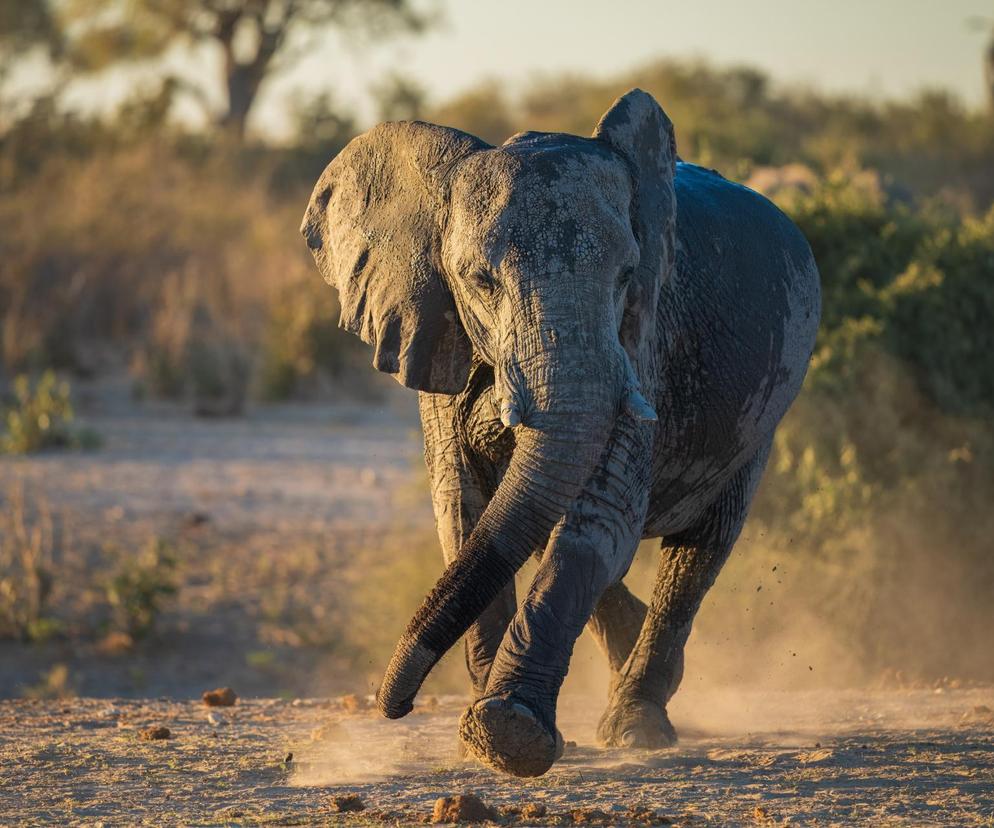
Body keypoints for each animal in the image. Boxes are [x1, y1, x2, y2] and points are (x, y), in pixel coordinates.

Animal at [302, 89, 820, 776]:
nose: (394, 707)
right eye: (479, 280)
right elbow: (465, 511)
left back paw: (637, 723)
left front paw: (508, 733)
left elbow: (598, 518)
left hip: (766, 409)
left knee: (701, 549)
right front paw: (478, 745)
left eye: (627, 276)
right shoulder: (438, 332)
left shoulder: (641, 346)